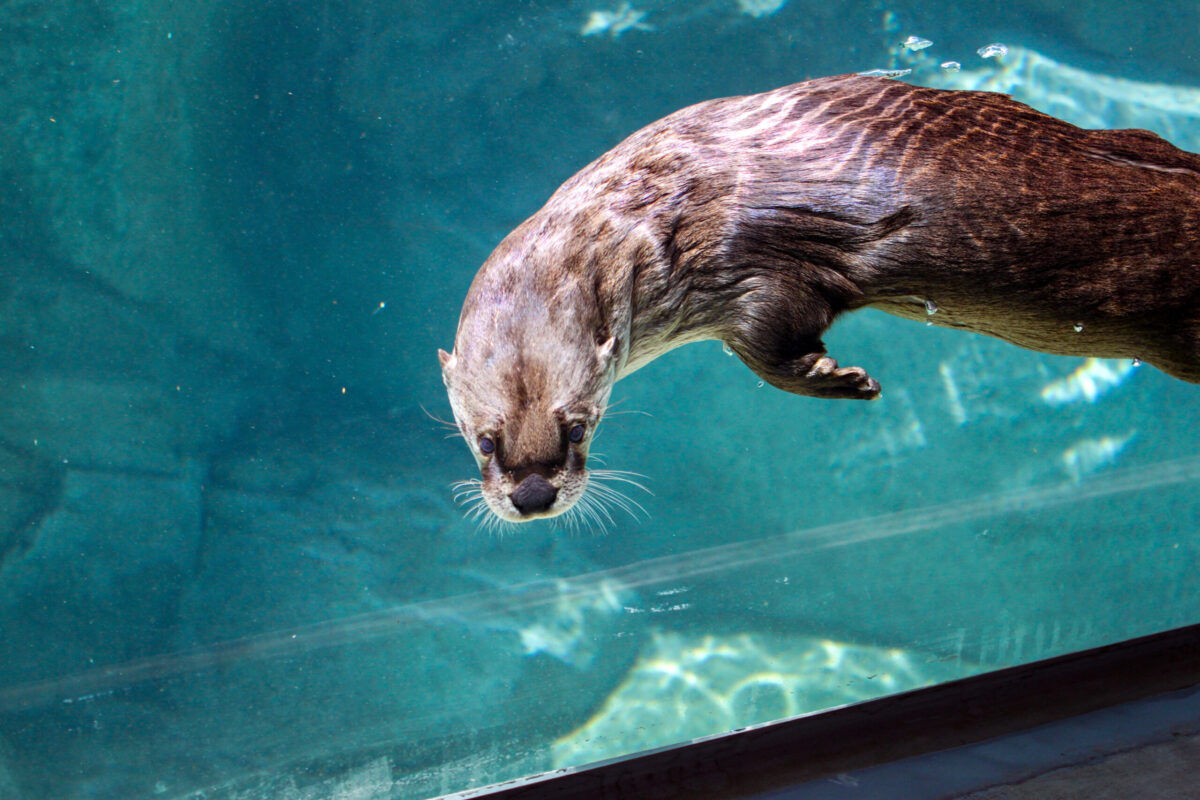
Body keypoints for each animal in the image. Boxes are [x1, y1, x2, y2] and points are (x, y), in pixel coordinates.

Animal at [441, 73, 1200, 525]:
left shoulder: (738, 265)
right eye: (484, 440)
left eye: (578, 427)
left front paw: (843, 378)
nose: (533, 497)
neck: (652, 216)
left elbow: (771, 334)